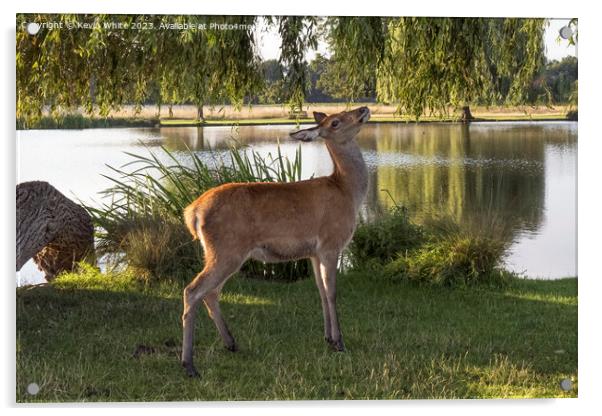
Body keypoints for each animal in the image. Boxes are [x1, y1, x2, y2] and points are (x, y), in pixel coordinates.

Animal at [178, 105, 368, 376]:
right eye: (335, 122)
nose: (363, 109)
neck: (347, 192)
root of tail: (192, 211)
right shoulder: (331, 243)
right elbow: (332, 292)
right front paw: (340, 343)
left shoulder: (313, 252)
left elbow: (321, 291)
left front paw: (328, 339)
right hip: (227, 249)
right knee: (193, 290)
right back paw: (189, 364)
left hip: (220, 252)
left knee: (211, 292)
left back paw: (231, 343)